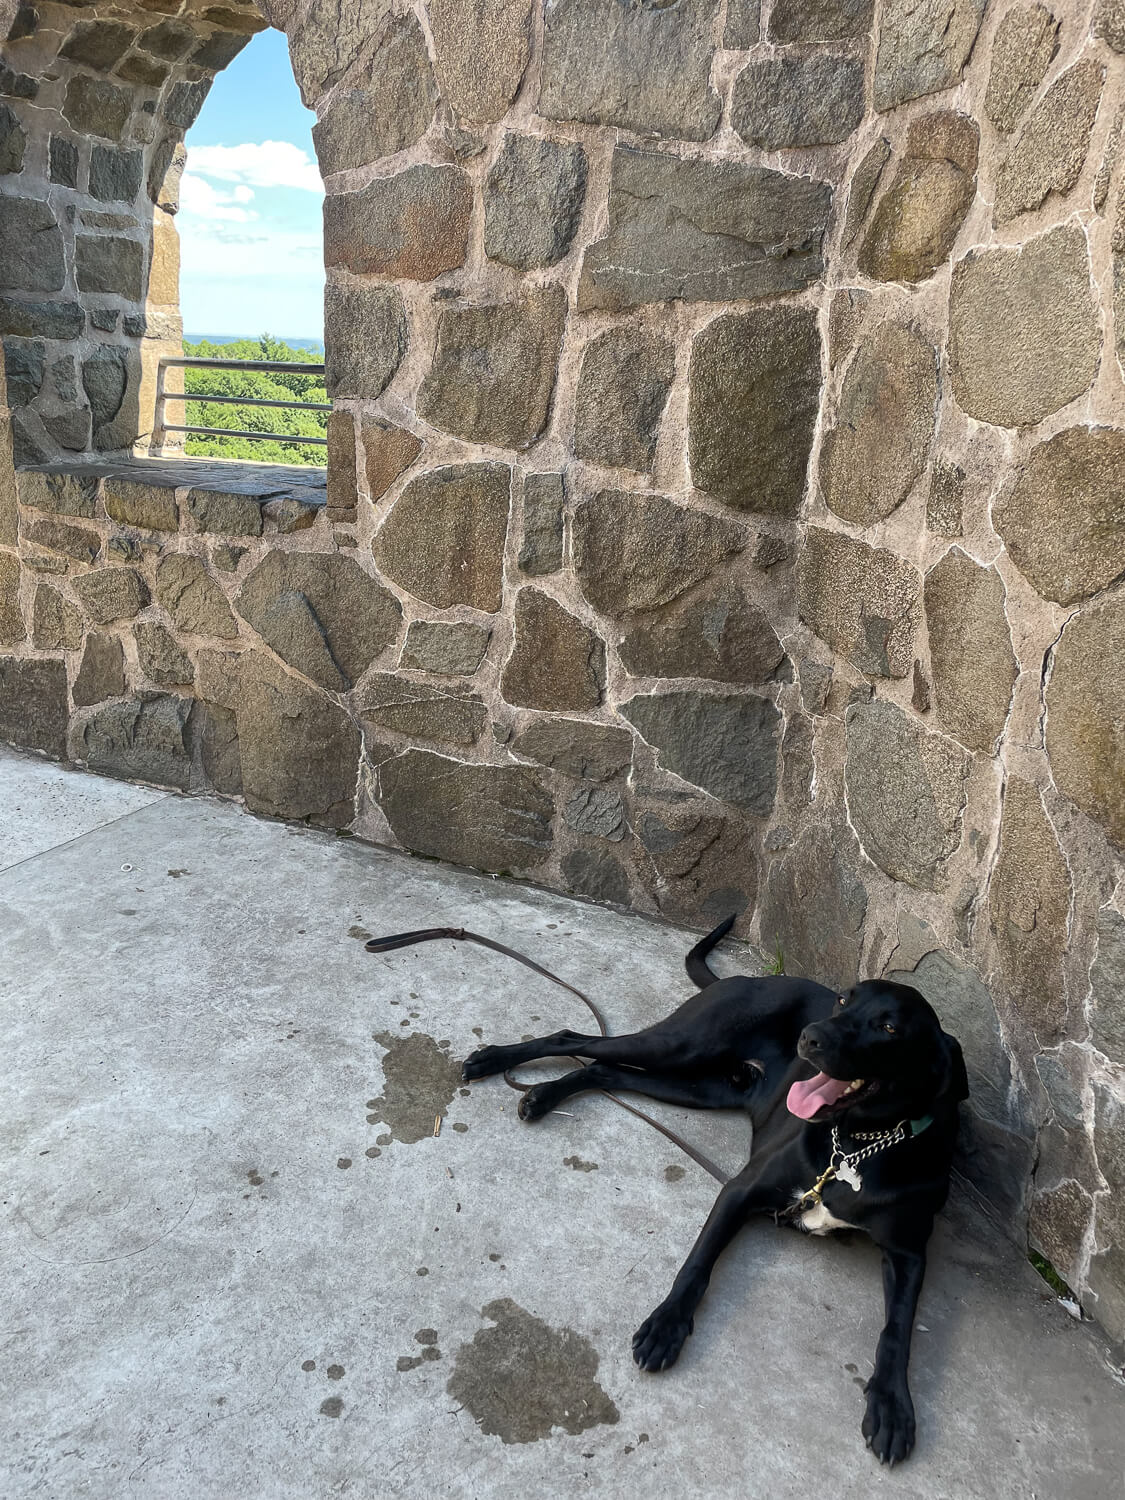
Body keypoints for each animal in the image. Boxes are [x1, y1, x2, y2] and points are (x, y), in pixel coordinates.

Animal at [462, 912, 966, 1464]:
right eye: (842, 1000)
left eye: (890, 1027)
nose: (809, 1038)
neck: (858, 1145)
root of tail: (748, 978)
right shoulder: (740, 1191)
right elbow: (697, 1265)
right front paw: (666, 1326)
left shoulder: (909, 1254)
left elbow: (898, 1331)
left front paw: (893, 1405)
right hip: (680, 1047)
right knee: (572, 1038)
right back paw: (494, 1062)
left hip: (699, 1085)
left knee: (603, 1070)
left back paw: (543, 1095)